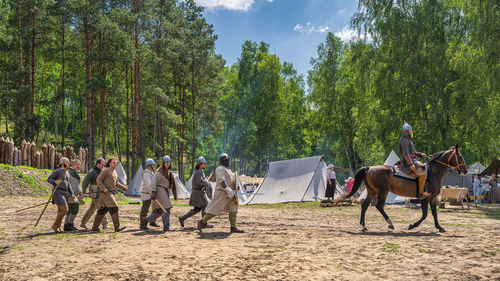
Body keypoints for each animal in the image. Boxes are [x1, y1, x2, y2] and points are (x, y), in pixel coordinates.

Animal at [336, 144, 468, 232]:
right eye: (460, 156)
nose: (465, 171)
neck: (432, 173)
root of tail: (370, 168)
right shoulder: (425, 198)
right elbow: (425, 214)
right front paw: (412, 225)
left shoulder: (432, 198)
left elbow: (434, 213)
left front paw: (439, 227)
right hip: (383, 192)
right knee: (379, 206)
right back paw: (390, 223)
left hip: (372, 192)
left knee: (364, 206)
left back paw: (364, 225)